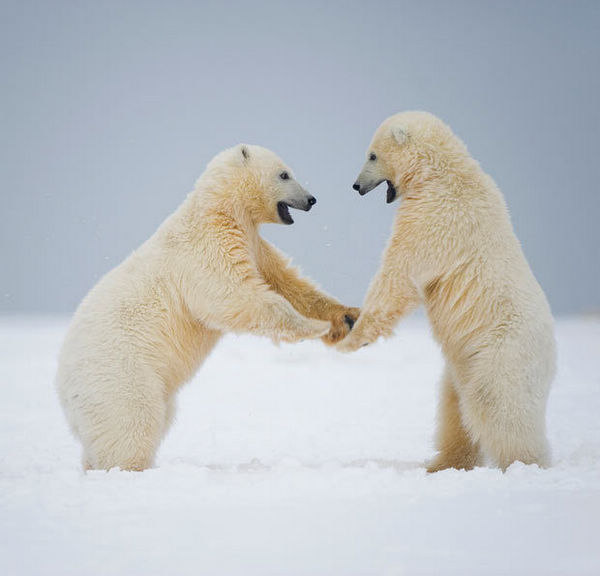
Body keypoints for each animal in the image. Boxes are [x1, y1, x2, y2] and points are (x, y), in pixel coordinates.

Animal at [57, 145, 356, 472]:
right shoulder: (206, 249)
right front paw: (313, 326)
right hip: (120, 373)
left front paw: (346, 316)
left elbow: (286, 282)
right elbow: (234, 296)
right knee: (133, 422)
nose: (311, 199)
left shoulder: (254, 245)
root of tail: (64, 391)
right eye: (285, 174)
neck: (219, 212)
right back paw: (128, 468)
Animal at [340, 112, 556, 472]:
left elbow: (400, 275)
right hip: (463, 365)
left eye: (371, 155)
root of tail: (551, 359)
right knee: (454, 408)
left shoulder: (434, 218)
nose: (356, 186)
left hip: (504, 353)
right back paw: (442, 463)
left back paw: (524, 464)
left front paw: (354, 336)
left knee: (496, 403)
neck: (441, 173)